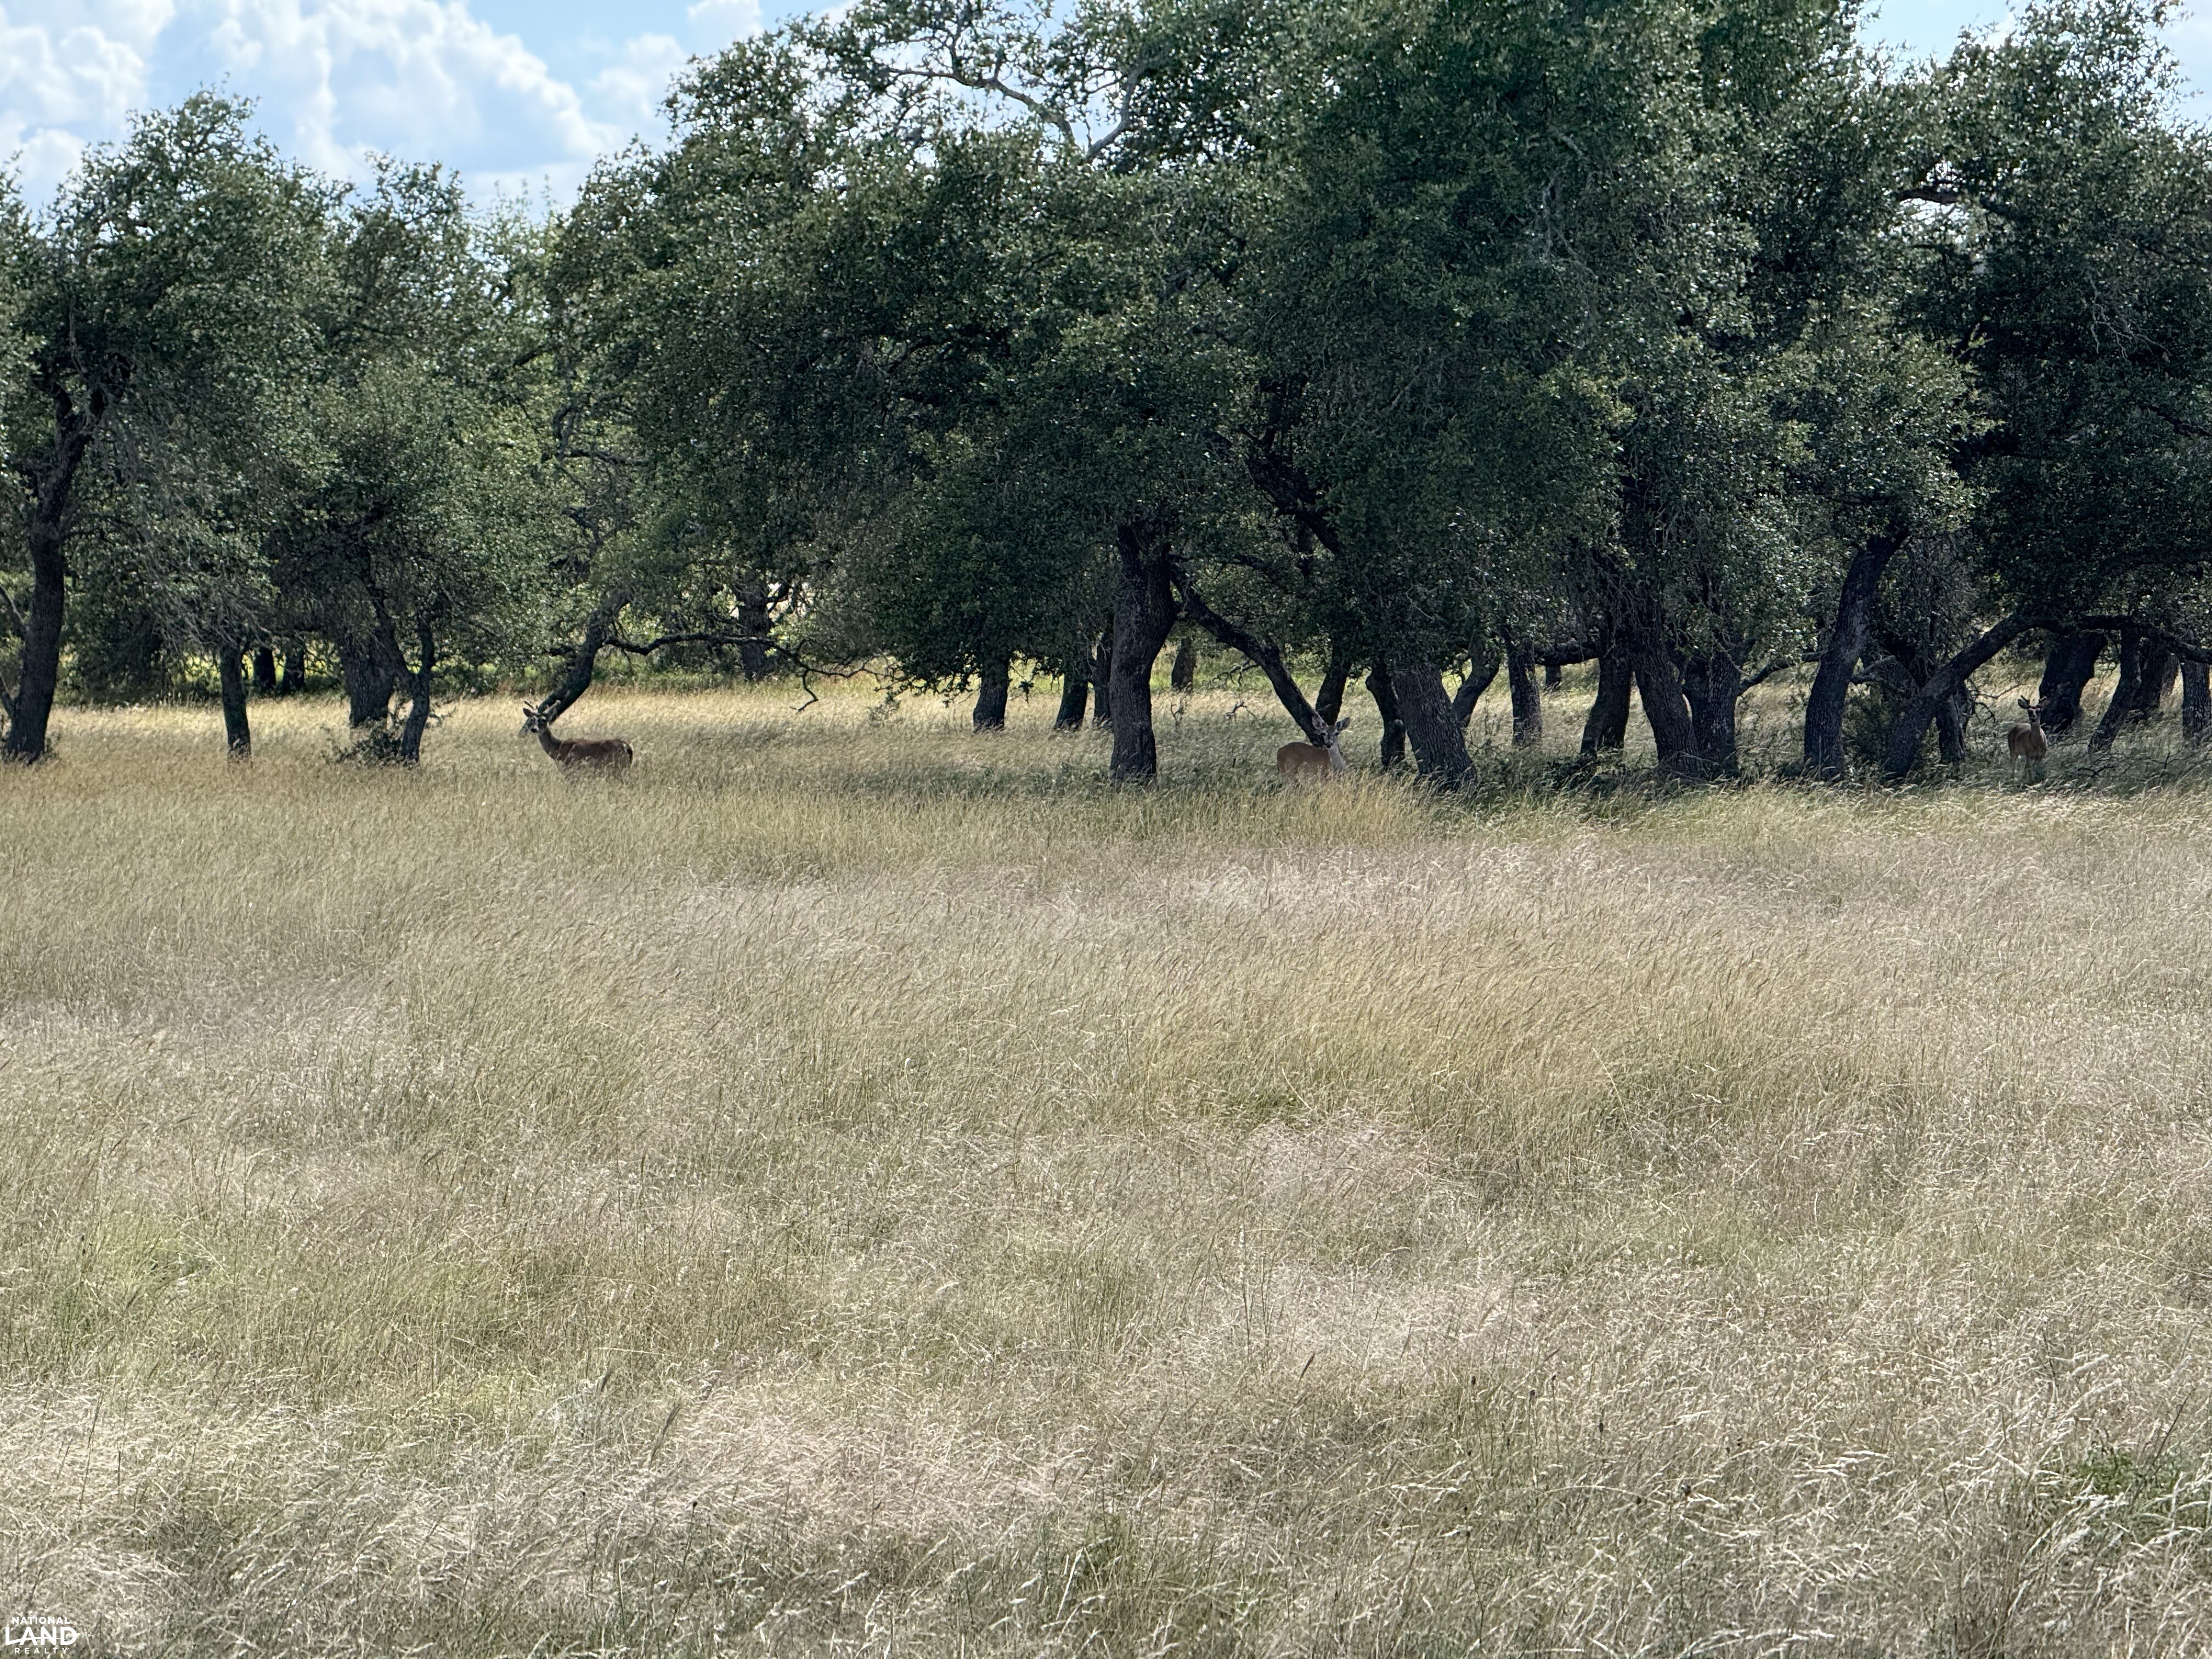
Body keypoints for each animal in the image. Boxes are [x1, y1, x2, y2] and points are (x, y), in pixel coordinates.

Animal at [521, 703, 633, 771]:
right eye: (532, 719)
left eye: (544, 720)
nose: (534, 729)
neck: (558, 749)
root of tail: (628, 747)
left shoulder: (570, 768)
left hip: (618, 766)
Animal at [2007, 697, 2047, 780]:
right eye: (2029, 711)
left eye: (2039, 711)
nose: (2033, 719)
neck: (2037, 744)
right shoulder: (2028, 753)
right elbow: (2030, 768)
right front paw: (2031, 781)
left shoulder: (2042, 755)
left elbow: (2039, 768)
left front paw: (2040, 779)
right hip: (2012, 749)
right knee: (2013, 764)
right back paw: (2013, 778)